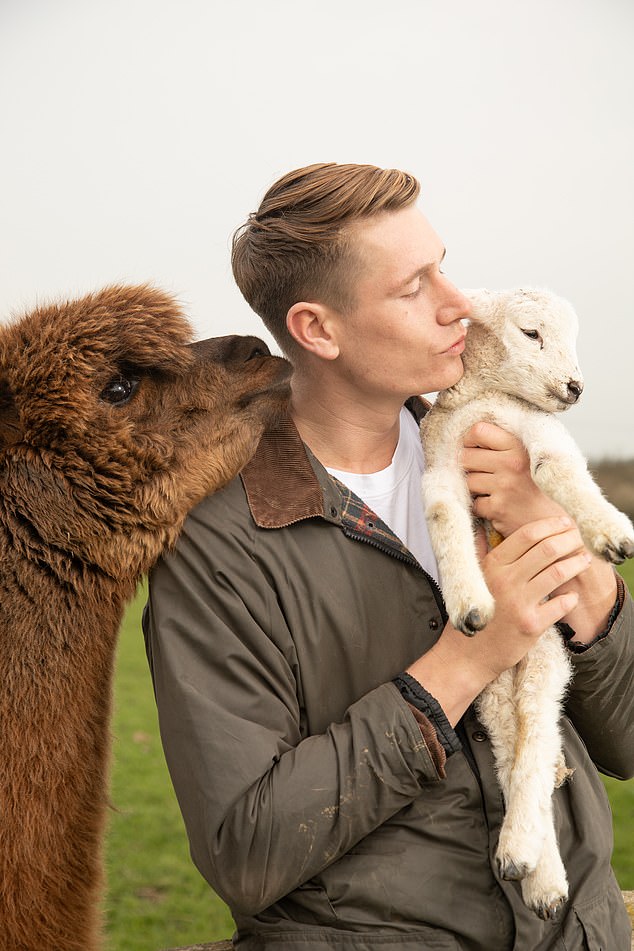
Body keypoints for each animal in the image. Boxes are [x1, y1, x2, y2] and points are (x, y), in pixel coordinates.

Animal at [420, 286, 632, 920]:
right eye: (531, 333)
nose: (576, 387)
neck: (485, 400)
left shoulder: (535, 433)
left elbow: (554, 468)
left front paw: (610, 534)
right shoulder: (442, 462)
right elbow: (442, 512)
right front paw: (469, 604)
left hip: (546, 661)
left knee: (536, 739)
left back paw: (526, 862)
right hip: (492, 687)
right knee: (513, 756)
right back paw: (535, 869)